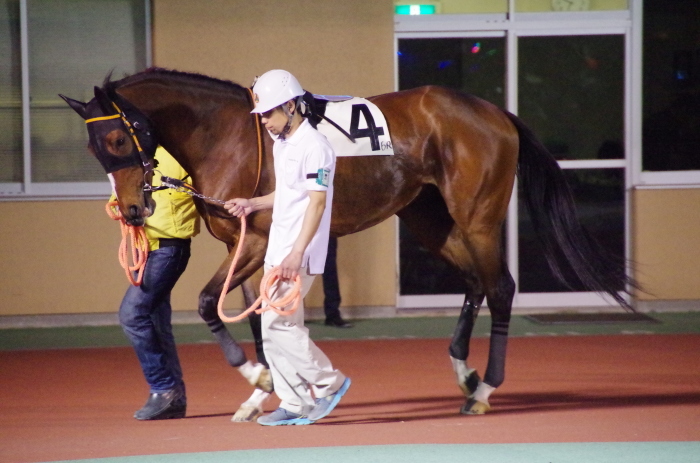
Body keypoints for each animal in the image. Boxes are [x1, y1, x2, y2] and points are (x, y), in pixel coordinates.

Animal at [60, 69, 636, 420]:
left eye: (118, 138)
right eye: (93, 147)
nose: (132, 211)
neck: (226, 135)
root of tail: (495, 112)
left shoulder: (260, 240)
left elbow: (207, 303)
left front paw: (260, 379)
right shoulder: (241, 245)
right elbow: (250, 316)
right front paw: (262, 392)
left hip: (477, 218)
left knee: (500, 288)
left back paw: (486, 388)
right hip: (429, 220)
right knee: (475, 283)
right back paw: (464, 372)